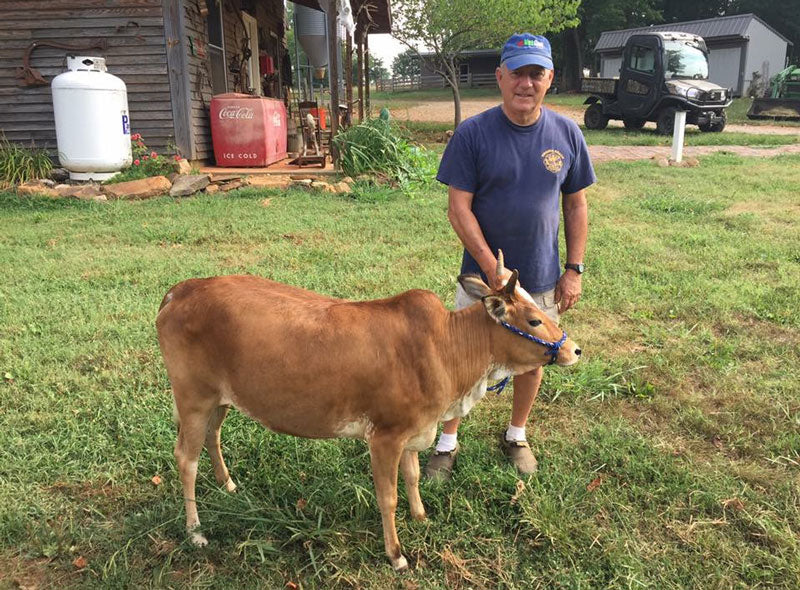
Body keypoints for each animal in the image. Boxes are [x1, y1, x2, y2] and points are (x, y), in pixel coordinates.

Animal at [156, 260, 580, 572]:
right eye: (534, 320)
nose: (573, 350)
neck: (446, 347)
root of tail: (181, 289)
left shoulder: (413, 433)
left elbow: (412, 478)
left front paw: (421, 516)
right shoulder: (385, 438)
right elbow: (387, 496)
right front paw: (397, 555)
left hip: (221, 399)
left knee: (212, 437)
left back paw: (228, 484)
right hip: (192, 397)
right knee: (185, 459)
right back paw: (195, 531)